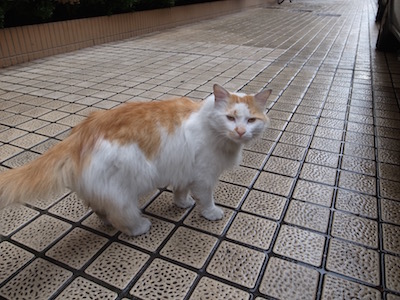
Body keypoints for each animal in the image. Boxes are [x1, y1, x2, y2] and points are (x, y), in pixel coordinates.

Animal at [0, 84, 272, 237]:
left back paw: (106, 220)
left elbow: (180, 191)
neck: (210, 126)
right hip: (125, 187)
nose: (240, 132)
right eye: (230, 118)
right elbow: (205, 200)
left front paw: (182, 204)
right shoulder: (203, 177)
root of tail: (82, 132)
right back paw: (139, 228)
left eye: (251, 120)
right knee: (121, 215)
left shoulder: (184, 169)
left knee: (101, 208)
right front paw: (211, 213)